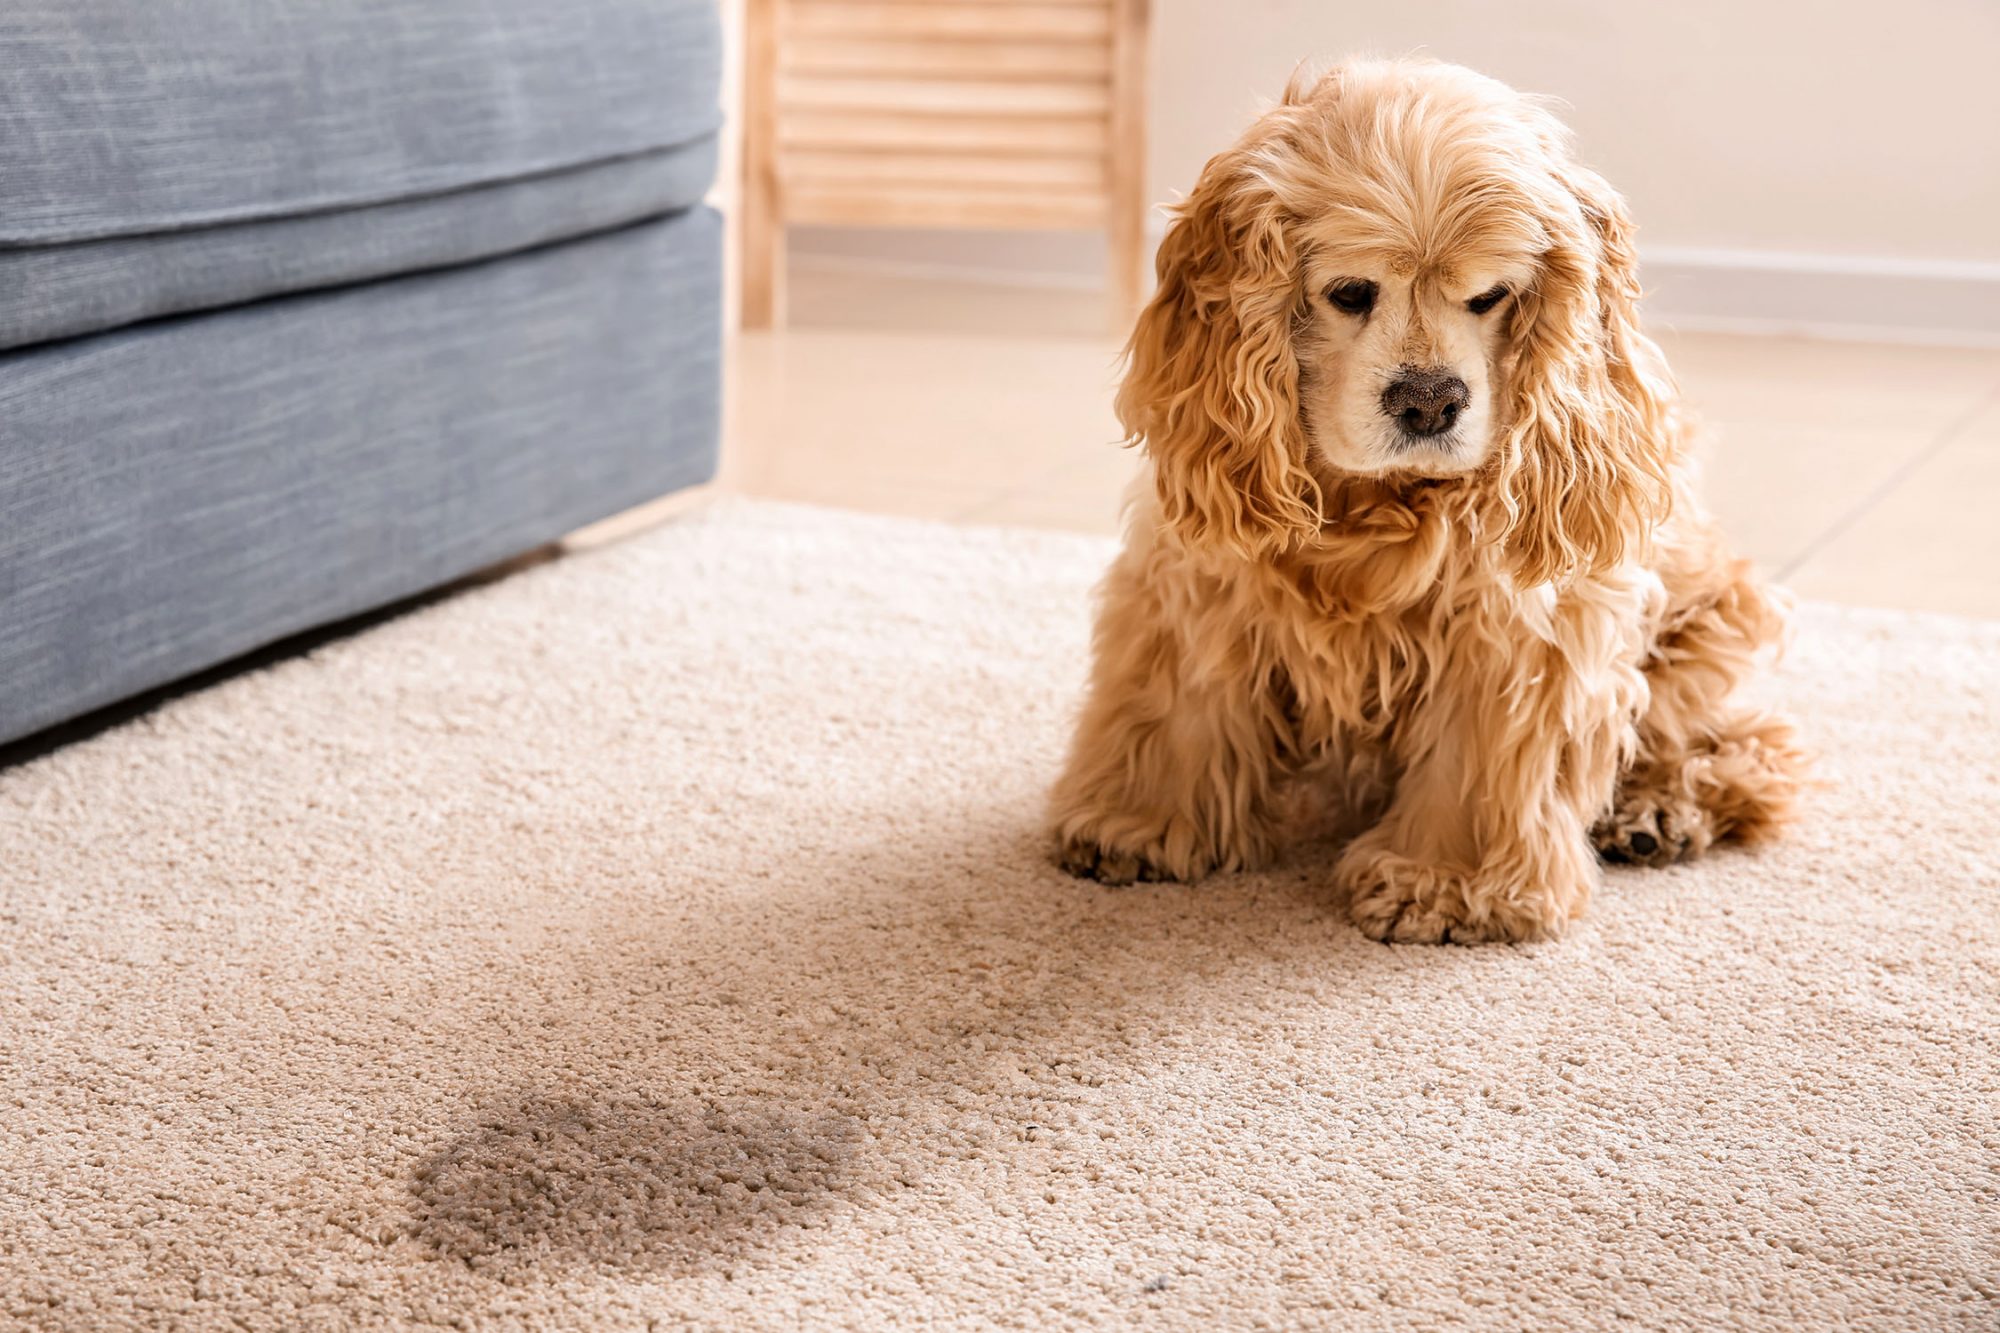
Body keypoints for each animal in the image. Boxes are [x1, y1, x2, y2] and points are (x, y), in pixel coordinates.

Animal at [1056, 57, 1808, 940]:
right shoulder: (1203, 572)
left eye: (1490, 296)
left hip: (1706, 629)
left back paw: (1655, 814)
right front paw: (1136, 821)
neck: (1370, 506)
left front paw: (1445, 883)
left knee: (1750, 745)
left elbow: (1478, 755)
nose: (1428, 402)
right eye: (1351, 291)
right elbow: (1178, 701)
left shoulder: (1515, 627)